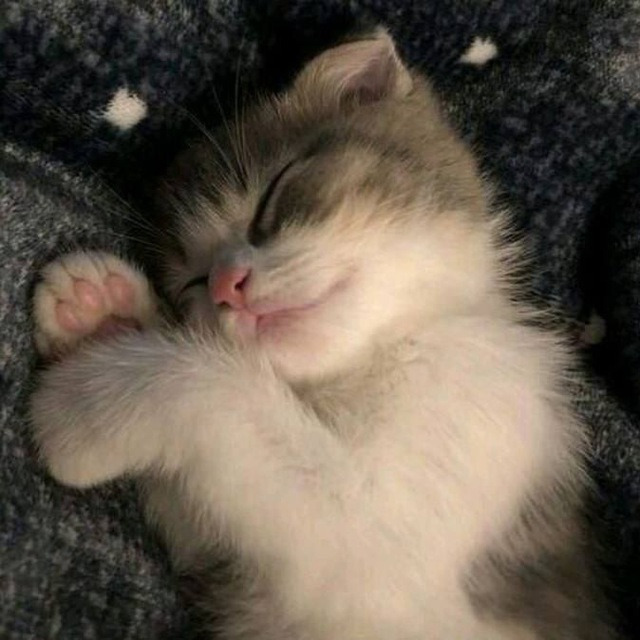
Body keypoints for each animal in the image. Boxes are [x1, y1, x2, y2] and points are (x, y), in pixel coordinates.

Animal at [30, 29, 617, 640]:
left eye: (273, 199)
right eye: (190, 283)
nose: (226, 285)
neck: (379, 359)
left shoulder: (396, 521)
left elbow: (228, 398)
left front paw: (87, 402)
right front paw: (102, 318)